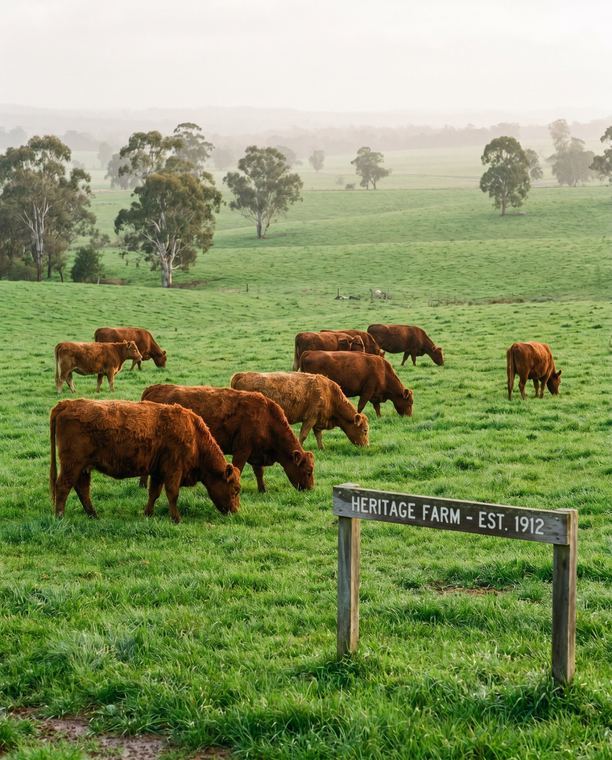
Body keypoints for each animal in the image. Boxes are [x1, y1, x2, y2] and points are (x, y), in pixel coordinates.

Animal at [49, 399, 241, 522]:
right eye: (236, 489)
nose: (236, 511)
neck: (194, 436)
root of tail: (67, 403)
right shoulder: (173, 470)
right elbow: (172, 494)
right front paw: (176, 518)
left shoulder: (158, 471)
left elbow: (154, 493)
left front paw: (148, 514)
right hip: (72, 465)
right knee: (63, 487)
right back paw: (60, 516)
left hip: (83, 468)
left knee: (82, 489)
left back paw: (93, 515)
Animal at [141, 384, 315, 493]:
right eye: (308, 471)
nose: (310, 489)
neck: (266, 418)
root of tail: (153, 388)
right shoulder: (242, 450)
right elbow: (239, 468)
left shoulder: (256, 452)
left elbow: (259, 472)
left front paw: (262, 490)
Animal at [231, 370, 369, 450]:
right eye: (365, 430)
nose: (367, 446)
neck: (328, 393)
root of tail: (242, 375)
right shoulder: (310, 418)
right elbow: (303, 436)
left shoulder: (317, 421)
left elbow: (318, 435)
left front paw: (321, 448)